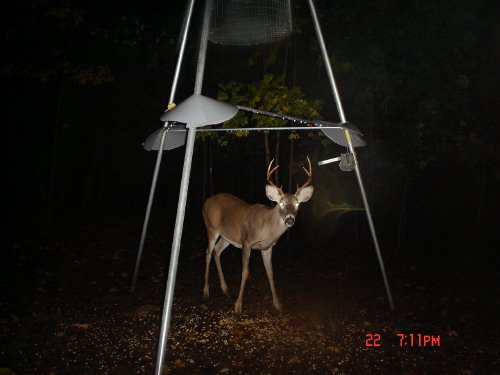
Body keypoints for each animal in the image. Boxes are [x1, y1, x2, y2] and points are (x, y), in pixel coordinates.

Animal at [202, 158, 312, 314]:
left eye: (297, 204)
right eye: (281, 203)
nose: (290, 220)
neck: (267, 229)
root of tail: (206, 202)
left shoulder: (267, 248)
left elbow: (270, 273)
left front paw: (278, 304)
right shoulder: (246, 242)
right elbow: (245, 272)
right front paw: (238, 305)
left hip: (227, 237)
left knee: (217, 252)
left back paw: (225, 289)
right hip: (211, 227)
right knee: (208, 252)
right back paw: (206, 291)